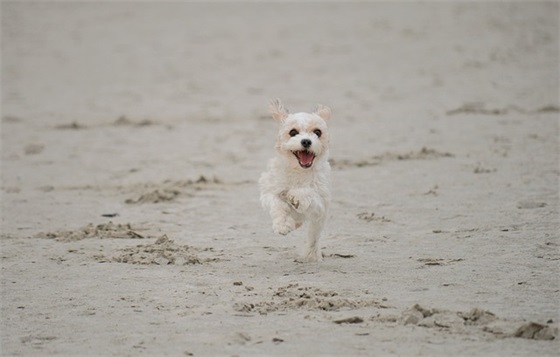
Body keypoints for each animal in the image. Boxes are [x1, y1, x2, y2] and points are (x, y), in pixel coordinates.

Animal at [260, 98, 332, 260]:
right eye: (293, 132)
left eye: (317, 132)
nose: (306, 141)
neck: (299, 171)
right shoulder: (269, 190)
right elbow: (278, 204)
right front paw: (282, 225)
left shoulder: (321, 204)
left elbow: (308, 193)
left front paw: (297, 197)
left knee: (313, 237)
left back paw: (311, 255)